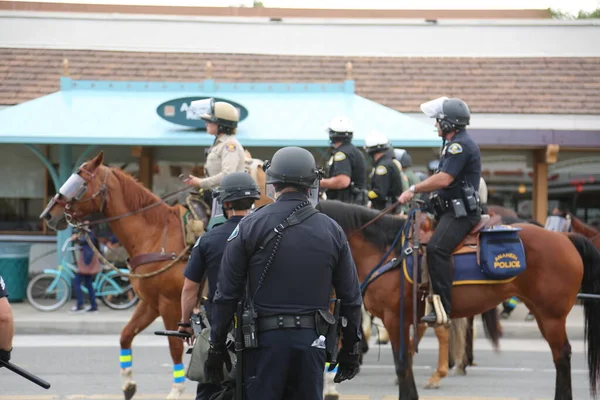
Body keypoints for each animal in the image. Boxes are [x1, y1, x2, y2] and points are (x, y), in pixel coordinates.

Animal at [316, 202, 600, 400]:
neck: (387, 251)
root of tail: (564, 238)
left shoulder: (395, 318)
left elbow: (402, 365)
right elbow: (406, 361)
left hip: (551, 315)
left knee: (562, 355)